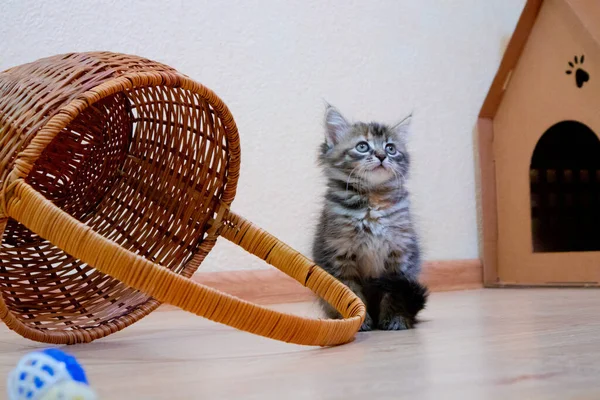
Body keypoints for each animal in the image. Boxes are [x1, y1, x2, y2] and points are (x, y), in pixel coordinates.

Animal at [314, 104, 426, 332]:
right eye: (362, 146)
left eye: (391, 148)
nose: (382, 155)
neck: (373, 202)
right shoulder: (339, 255)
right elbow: (350, 291)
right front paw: (359, 320)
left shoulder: (400, 256)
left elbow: (394, 295)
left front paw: (395, 319)